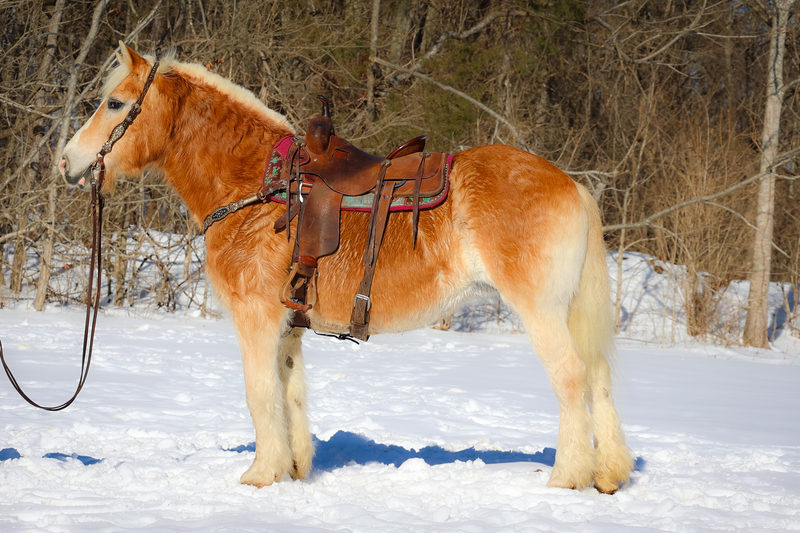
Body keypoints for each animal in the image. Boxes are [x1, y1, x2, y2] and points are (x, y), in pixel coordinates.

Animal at [59, 43, 636, 492]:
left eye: (114, 103)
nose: (66, 161)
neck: (255, 187)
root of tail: (571, 184)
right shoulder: (288, 325)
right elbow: (289, 392)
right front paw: (292, 468)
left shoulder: (256, 318)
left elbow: (259, 393)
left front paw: (260, 475)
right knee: (599, 376)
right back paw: (609, 473)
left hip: (541, 310)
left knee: (571, 377)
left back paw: (568, 476)